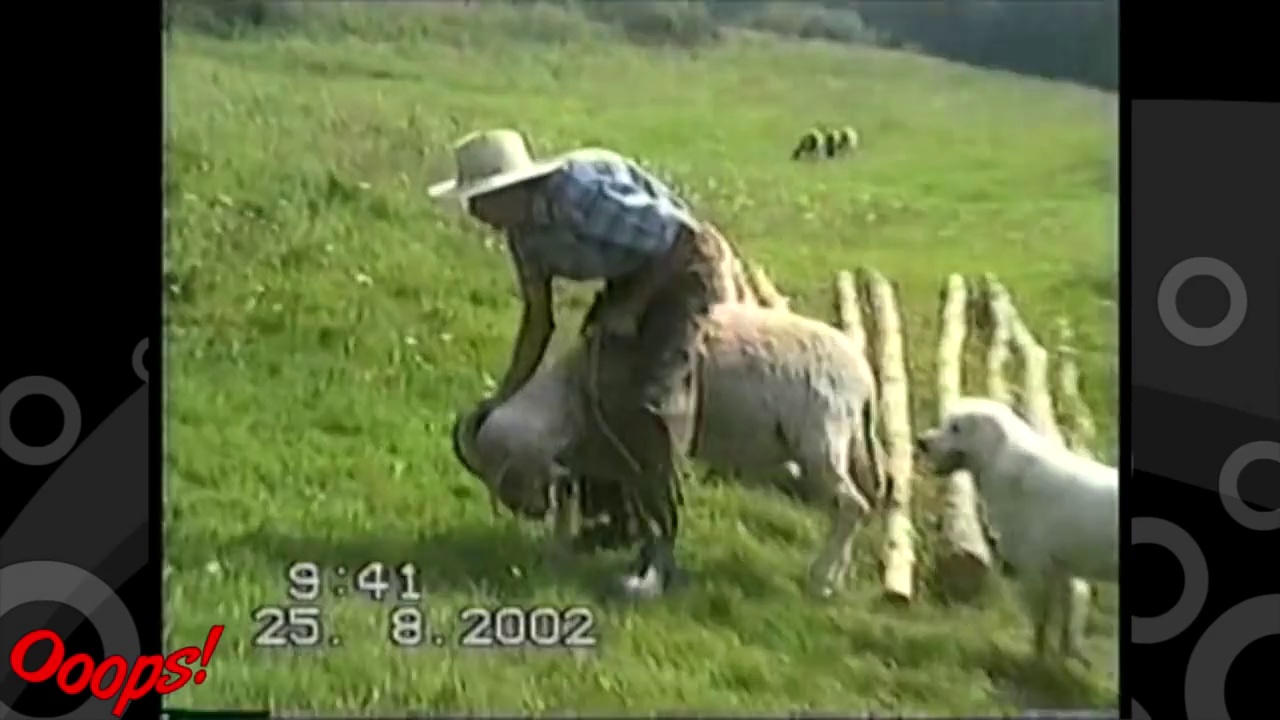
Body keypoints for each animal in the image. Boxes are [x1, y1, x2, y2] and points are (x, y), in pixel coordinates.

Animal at [453, 302, 888, 598]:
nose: (529, 511)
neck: (574, 390)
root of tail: (865, 377)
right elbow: (579, 498)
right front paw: (567, 549)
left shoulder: (640, 447)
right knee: (853, 507)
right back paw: (836, 576)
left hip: (820, 440)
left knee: (852, 506)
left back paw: (821, 579)